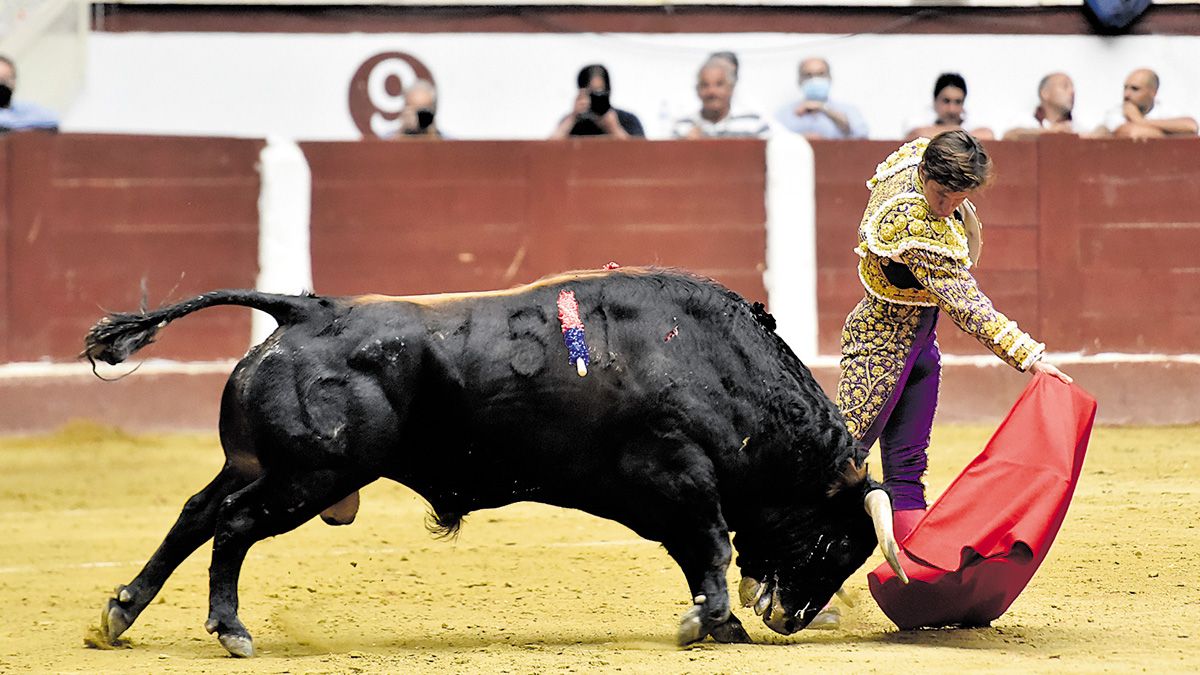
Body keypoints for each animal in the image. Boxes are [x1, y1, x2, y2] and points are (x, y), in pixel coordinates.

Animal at [82, 265, 902, 653]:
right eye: (840, 542)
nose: (793, 620)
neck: (718, 368)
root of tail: (309, 310)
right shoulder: (680, 475)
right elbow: (711, 546)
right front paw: (713, 622)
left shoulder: (666, 495)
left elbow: (698, 553)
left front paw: (716, 622)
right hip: (309, 477)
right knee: (231, 526)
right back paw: (230, 629)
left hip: (259, 466)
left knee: (195, 514)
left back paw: (119, 613)